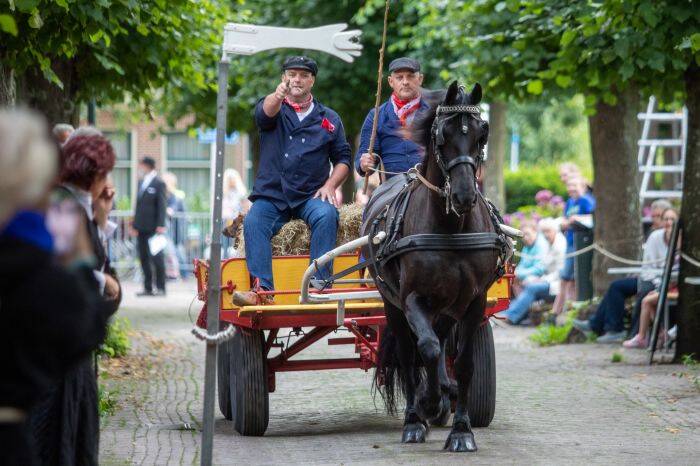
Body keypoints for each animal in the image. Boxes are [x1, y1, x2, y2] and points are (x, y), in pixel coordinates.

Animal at [360, 80, 504, 452]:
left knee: (439, 342)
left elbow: (463, 362)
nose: (465, 196)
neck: (451, 228)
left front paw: (462, 429)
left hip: (447, 306)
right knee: (411, 353)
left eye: (482, 133)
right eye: (442, 135)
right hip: (393, 305)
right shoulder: (412, 299)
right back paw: (417, 415)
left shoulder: (474, 301)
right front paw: (427, 405)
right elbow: (425, 349)